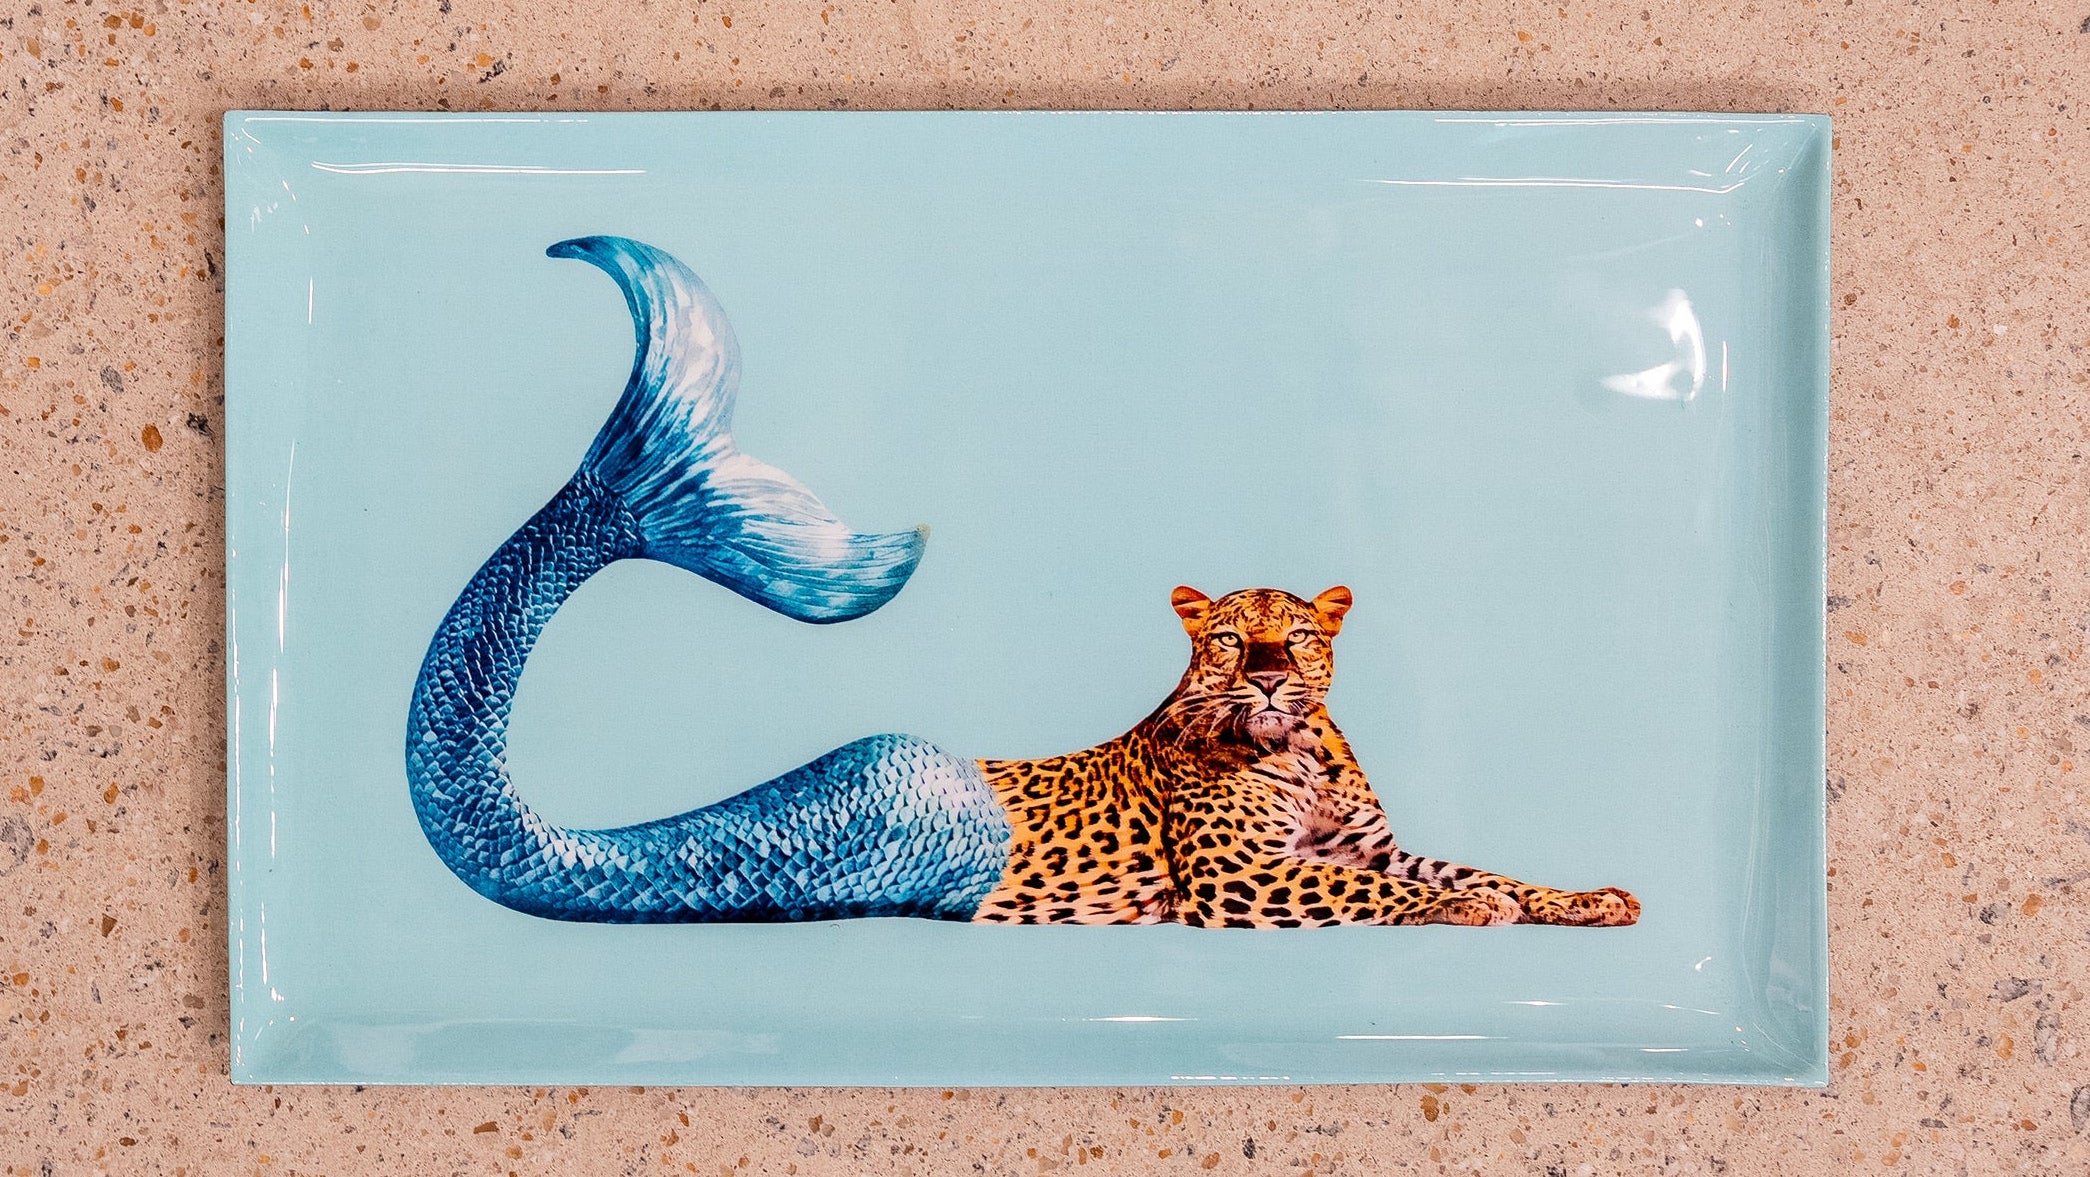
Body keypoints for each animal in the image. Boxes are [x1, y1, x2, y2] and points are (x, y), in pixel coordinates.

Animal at [971, 585, 1641, 928]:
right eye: (1230, 638)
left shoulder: (1369, 850)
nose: (1267, 679)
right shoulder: (1235, 872)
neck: (1305, 752)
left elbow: (1479, 871)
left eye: (1297, 636)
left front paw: (1587, 900)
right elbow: (1369, 889)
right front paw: (1470, 905)